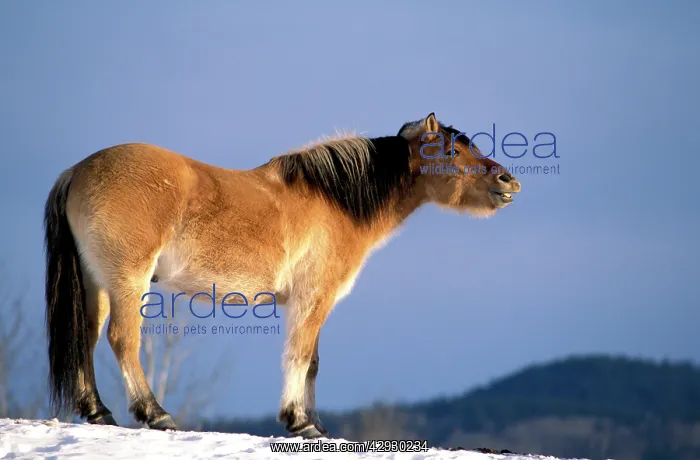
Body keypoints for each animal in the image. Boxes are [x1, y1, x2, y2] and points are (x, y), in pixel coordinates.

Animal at [44, 112, 521, 438]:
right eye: (452, 150)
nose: (508, 181)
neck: (336, 201)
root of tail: (77, 171)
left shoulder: (311, 302)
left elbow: (313, 364)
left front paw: (315, 424)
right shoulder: (313, 298)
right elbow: (299, 356)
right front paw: (299, 422)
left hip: (95, 283)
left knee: (86, 338)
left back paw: (98, 412)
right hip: (129, 280)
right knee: (122, 339)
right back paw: (155, 413)